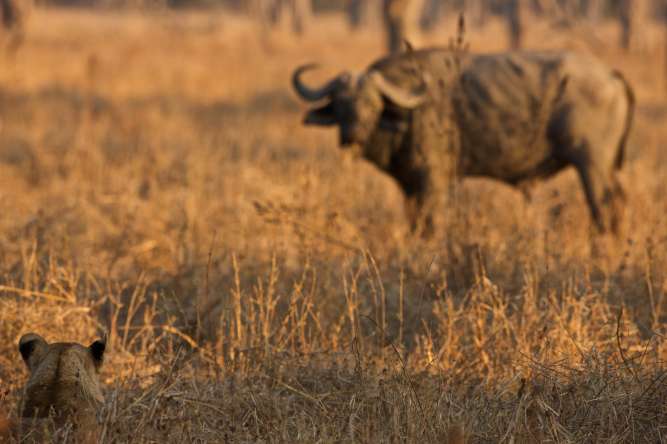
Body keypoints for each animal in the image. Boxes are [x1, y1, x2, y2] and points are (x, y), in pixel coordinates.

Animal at [292, 48, 634, 234]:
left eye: (372, 103)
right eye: (340, 103)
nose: (352, 135)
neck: (408, 113)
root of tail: (611, 74)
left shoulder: (434, 180)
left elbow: (430, 225)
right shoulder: (409, 186)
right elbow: (414, 224)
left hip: (592, 164)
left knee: (606, 209)